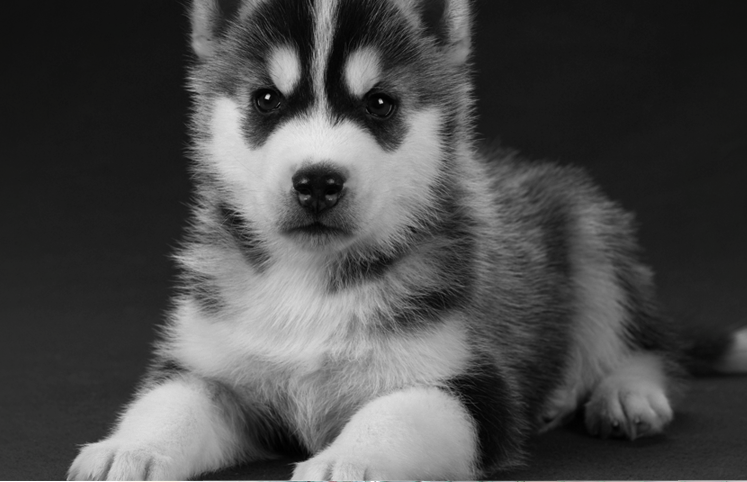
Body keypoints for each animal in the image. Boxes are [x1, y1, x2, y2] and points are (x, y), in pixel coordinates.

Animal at [68, 0, 747, 479]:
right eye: (265, 99)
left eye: (380, 104)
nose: (318, 182)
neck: (311, 279)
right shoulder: (215, 368)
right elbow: (171, 401)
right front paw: (128, 449)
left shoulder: (466, 385)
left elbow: (396, 412)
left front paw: (349, 459)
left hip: (589, 229)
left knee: (638, 339)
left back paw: (627, 393)